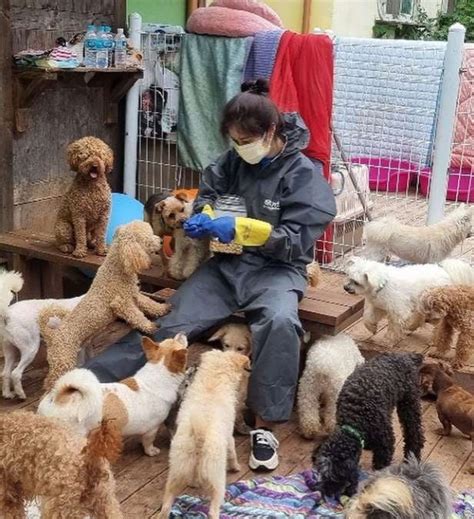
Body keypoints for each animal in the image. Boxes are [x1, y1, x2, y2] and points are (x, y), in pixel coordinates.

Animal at [38, 336, 187, 458]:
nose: (181, 333)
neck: (158, 374)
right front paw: (151, 451)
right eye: (181, 344)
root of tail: (58, 397)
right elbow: (148, 443)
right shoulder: (151, 430)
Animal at [40, 220, 170, 390]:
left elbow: (149, 303)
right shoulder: (121, 303)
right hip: (63, 361)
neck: (117, 268)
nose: (161, 241)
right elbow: (137, 316)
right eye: (147, 238)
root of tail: (51, 335)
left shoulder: (134, 295)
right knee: (51, 382)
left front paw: (163, 309)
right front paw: (150, 326)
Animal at [160, 350, 252, 519]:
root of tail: (200, 434)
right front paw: (236, 467)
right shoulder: (229, 437)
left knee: (166, 505)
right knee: (213, 509)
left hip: (177, 470)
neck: (212, 381)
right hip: (217, 478)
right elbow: (232, 453)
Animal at [312, 354, 426, 500]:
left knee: (415, 433)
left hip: (409, 404)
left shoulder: (385, 444)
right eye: (322, 474)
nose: (326, 493)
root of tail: (405, 356)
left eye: (336, 478)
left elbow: (380, 467)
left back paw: (412, 457)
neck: (354, 422)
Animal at [344, 256, 474, 346]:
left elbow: (394, 328)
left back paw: (434, 339)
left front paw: (388, 341)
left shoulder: (398, 311)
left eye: (356, 282)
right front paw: (372, 328)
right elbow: (367, 317)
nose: (345, 287)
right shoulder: (378, 306)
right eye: (349, 277)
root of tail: (444, 271)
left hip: (433, 305)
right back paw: (411, 326)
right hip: (421, 303)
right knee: (420, 316)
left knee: (439, 322)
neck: (382, 284)